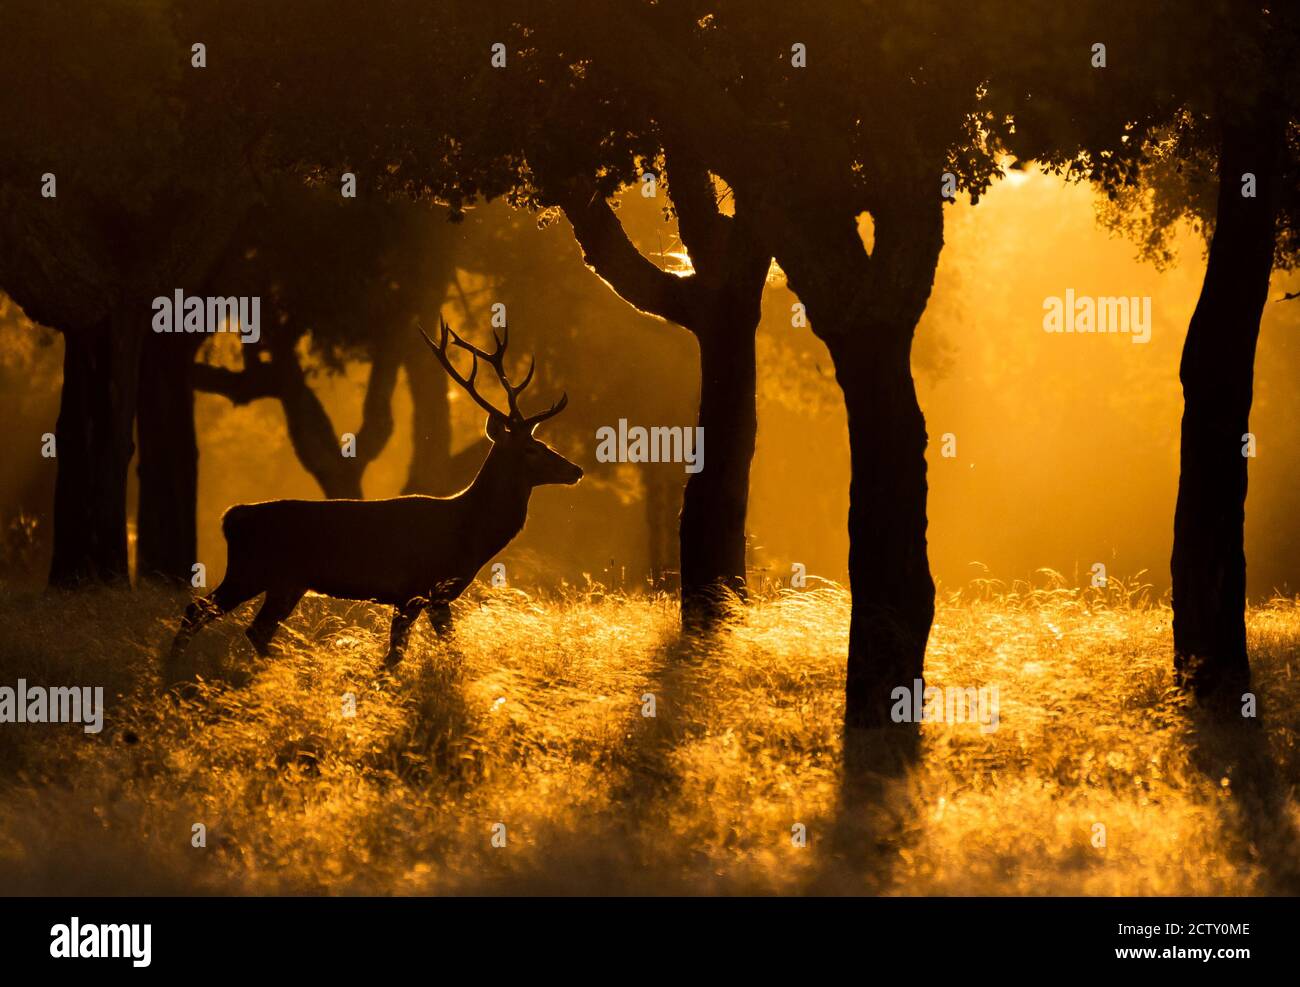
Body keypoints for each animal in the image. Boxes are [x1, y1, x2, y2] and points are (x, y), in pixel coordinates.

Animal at [169, 322, 585, 671]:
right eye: (532, 448)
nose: (576, 470)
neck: (467, 533)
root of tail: (231, 516)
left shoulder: (435, 596)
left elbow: (444, 649)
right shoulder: (417, 588)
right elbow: (397, 654)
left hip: (286, 582)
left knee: (255, 629)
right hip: (250, 569)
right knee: (196, 610)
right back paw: (175, 671)